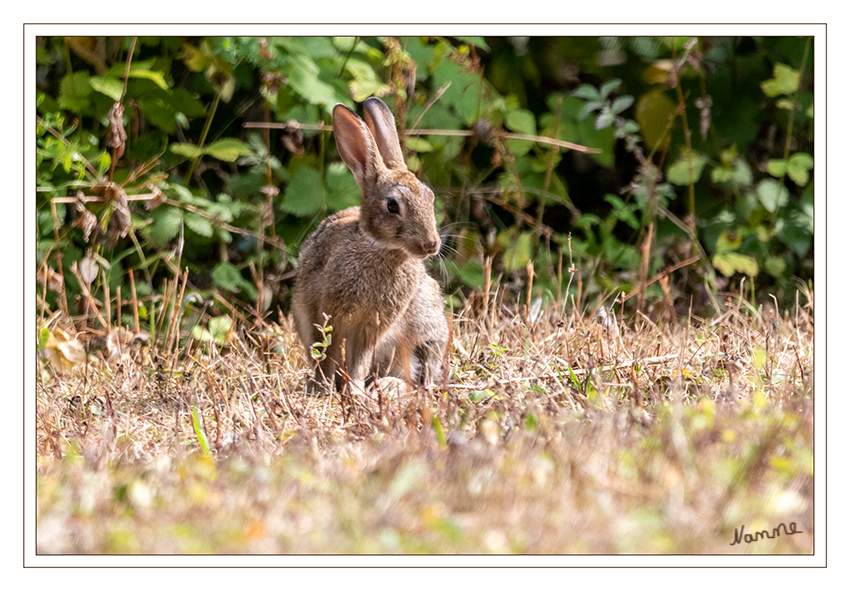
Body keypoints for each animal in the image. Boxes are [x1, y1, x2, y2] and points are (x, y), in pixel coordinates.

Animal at [292, 97, 448, 394]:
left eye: (430, 197)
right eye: (392, 205)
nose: (431, 244)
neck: (381, 249)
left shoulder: (372, 326)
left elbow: (361, 359)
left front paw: (353, 391)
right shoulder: (330, 315)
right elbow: (329, 353)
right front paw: (326, 389)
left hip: (426, 332)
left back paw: (387, 386)